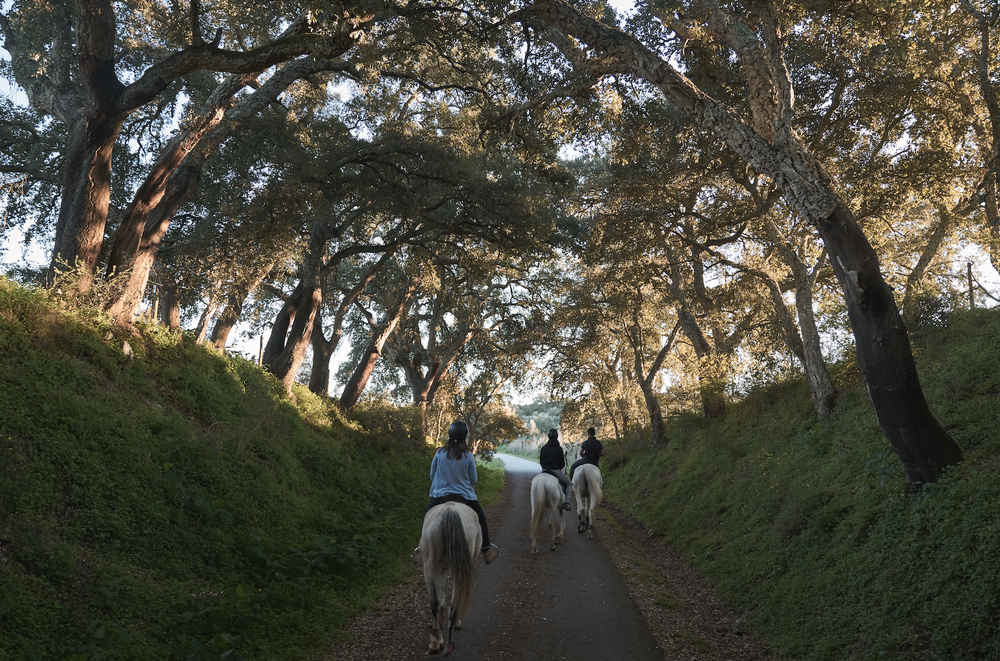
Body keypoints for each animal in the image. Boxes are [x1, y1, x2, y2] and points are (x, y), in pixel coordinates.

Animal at [418, 502, 480, 652]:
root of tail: (449, 511)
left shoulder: (442, 568)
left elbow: (440, 600)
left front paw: (439, 638)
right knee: (452, 604)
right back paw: (445, 643)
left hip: (429, 567)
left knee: (435, 602)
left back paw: (435, 643)